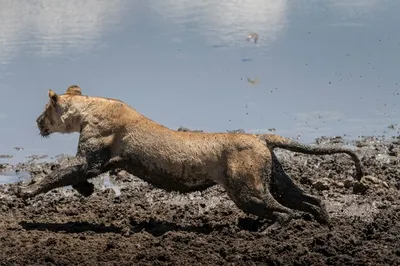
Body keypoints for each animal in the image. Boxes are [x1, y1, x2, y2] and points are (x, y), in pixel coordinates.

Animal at [18, 86, 362, 230]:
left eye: (45, 109)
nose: (36, 121)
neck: (88, 109)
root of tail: (259, 137)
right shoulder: (99, 162)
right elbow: (73, 176)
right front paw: (87, 190)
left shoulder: (91, 156)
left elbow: (57, 174)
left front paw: (25, 191)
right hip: (275, 180)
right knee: (311, 200)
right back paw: (325, 227)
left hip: (246, 190)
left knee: (285, 212)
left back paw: (272, 230)